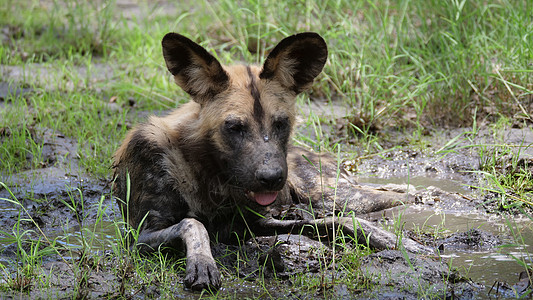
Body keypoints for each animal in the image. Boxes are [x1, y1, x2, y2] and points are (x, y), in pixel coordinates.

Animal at [113, 32, 428, 290]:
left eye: (280, 123)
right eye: (234, 127)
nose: (272, 178)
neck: (209, 175)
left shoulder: (258, 220)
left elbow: (336, 222)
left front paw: (394, 240)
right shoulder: (141, 235)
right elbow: (192, 224)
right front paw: (203, 262)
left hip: (336, 196)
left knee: (390, 197)